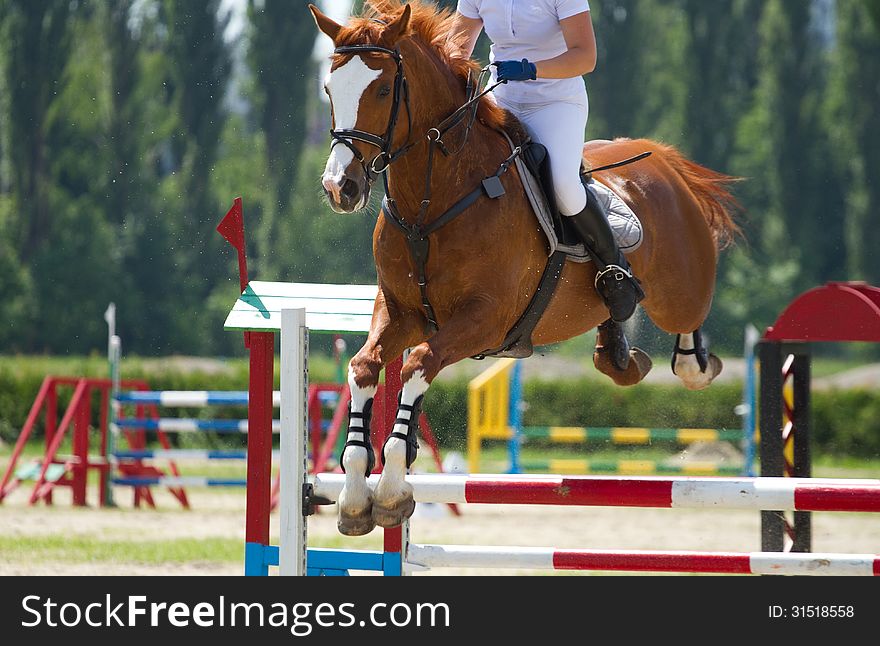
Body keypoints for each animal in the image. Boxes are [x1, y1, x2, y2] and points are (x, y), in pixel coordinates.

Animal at [310, 0, 744, 536]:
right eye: (330, 89)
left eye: (384, 89)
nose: (340, 188)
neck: (433, 200)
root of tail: (661, 159)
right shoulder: (401, 311)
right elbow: (365, 367)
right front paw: (353, 498)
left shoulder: (484, 319)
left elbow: (417, 363)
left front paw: (391, 491)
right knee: (616, 329)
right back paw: (621, 354)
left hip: (679, 293)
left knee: (688, 329)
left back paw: (693, 363)